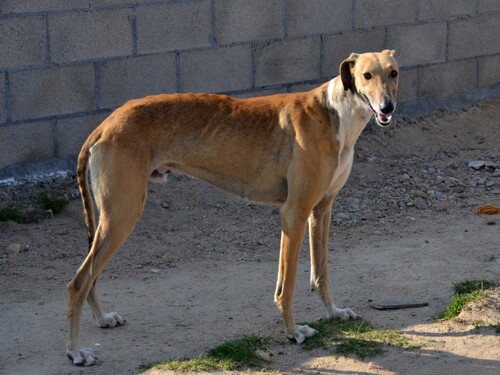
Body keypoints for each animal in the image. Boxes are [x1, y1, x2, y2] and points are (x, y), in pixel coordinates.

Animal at [68, 50, 400, 368]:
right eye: (366, 75)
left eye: (394, 72)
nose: (387, 108)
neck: (335, 114)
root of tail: (104, 125)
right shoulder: (294, 213)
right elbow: (287, 287)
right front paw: (293, 332)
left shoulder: (321, 210)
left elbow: (321, 273)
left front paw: (334, 312)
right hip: (122, 215)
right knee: (78, 282)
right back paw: (75, 352)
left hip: (112, 218)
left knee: (89, 278)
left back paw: (101, 319)